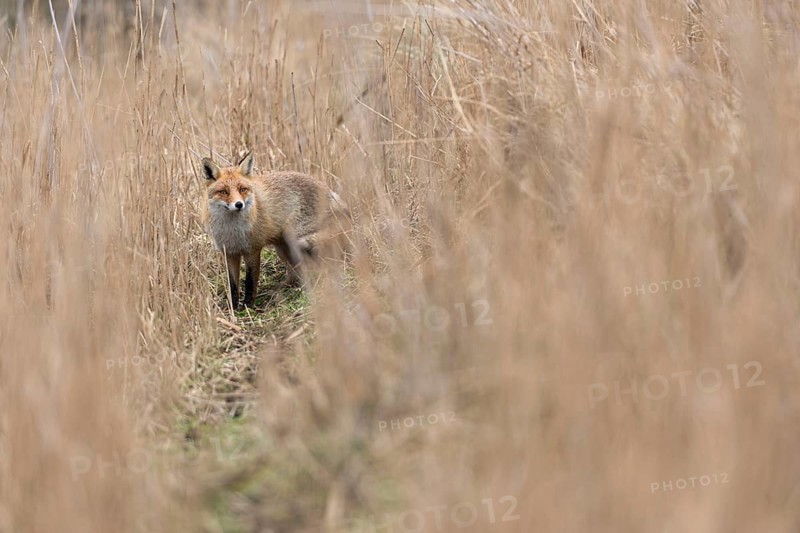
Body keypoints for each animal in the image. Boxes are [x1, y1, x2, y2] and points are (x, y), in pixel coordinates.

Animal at [199, 151, 348, 309]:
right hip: (283, 248)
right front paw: (234, 308)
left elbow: (250, 282)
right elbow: (233, 285)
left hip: (296, 238)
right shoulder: (230, 253)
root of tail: (329, 191)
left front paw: (248, 306)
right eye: (223, 191)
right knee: (295, 271)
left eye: (242, 189)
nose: (239, 204)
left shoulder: (252, 250)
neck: (232, 231)